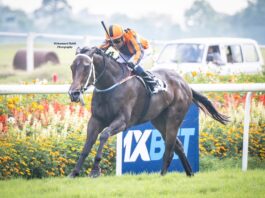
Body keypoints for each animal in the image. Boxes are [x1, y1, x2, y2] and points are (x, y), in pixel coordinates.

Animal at [67, 46, 228, 178]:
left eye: (87, 66)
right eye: (72, 66)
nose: (73, 93)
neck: (111, 84)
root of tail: (185, 84)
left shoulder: (122, 121)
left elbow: (104, 135)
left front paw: (95, 170)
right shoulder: (96, 120)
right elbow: (87, 146)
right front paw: (74, 173)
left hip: (174, 119)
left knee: (170, 148)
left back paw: (162, 175)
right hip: (159, 121)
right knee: (178, 145)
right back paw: (189, 173)